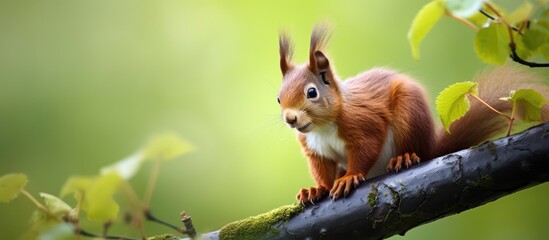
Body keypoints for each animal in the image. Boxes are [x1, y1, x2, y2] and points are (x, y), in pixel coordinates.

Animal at [278, 24, 548, 204]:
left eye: (311, 92)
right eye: (278, 98)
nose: (290, 119)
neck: (322, 127)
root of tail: (431, 147)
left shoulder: (363, 122)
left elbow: (366, 147)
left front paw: (350, 176)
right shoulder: (314, 149)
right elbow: (322, 170)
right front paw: (317, 189)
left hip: (409, 115)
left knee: (413, 148)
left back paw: (404, 157)